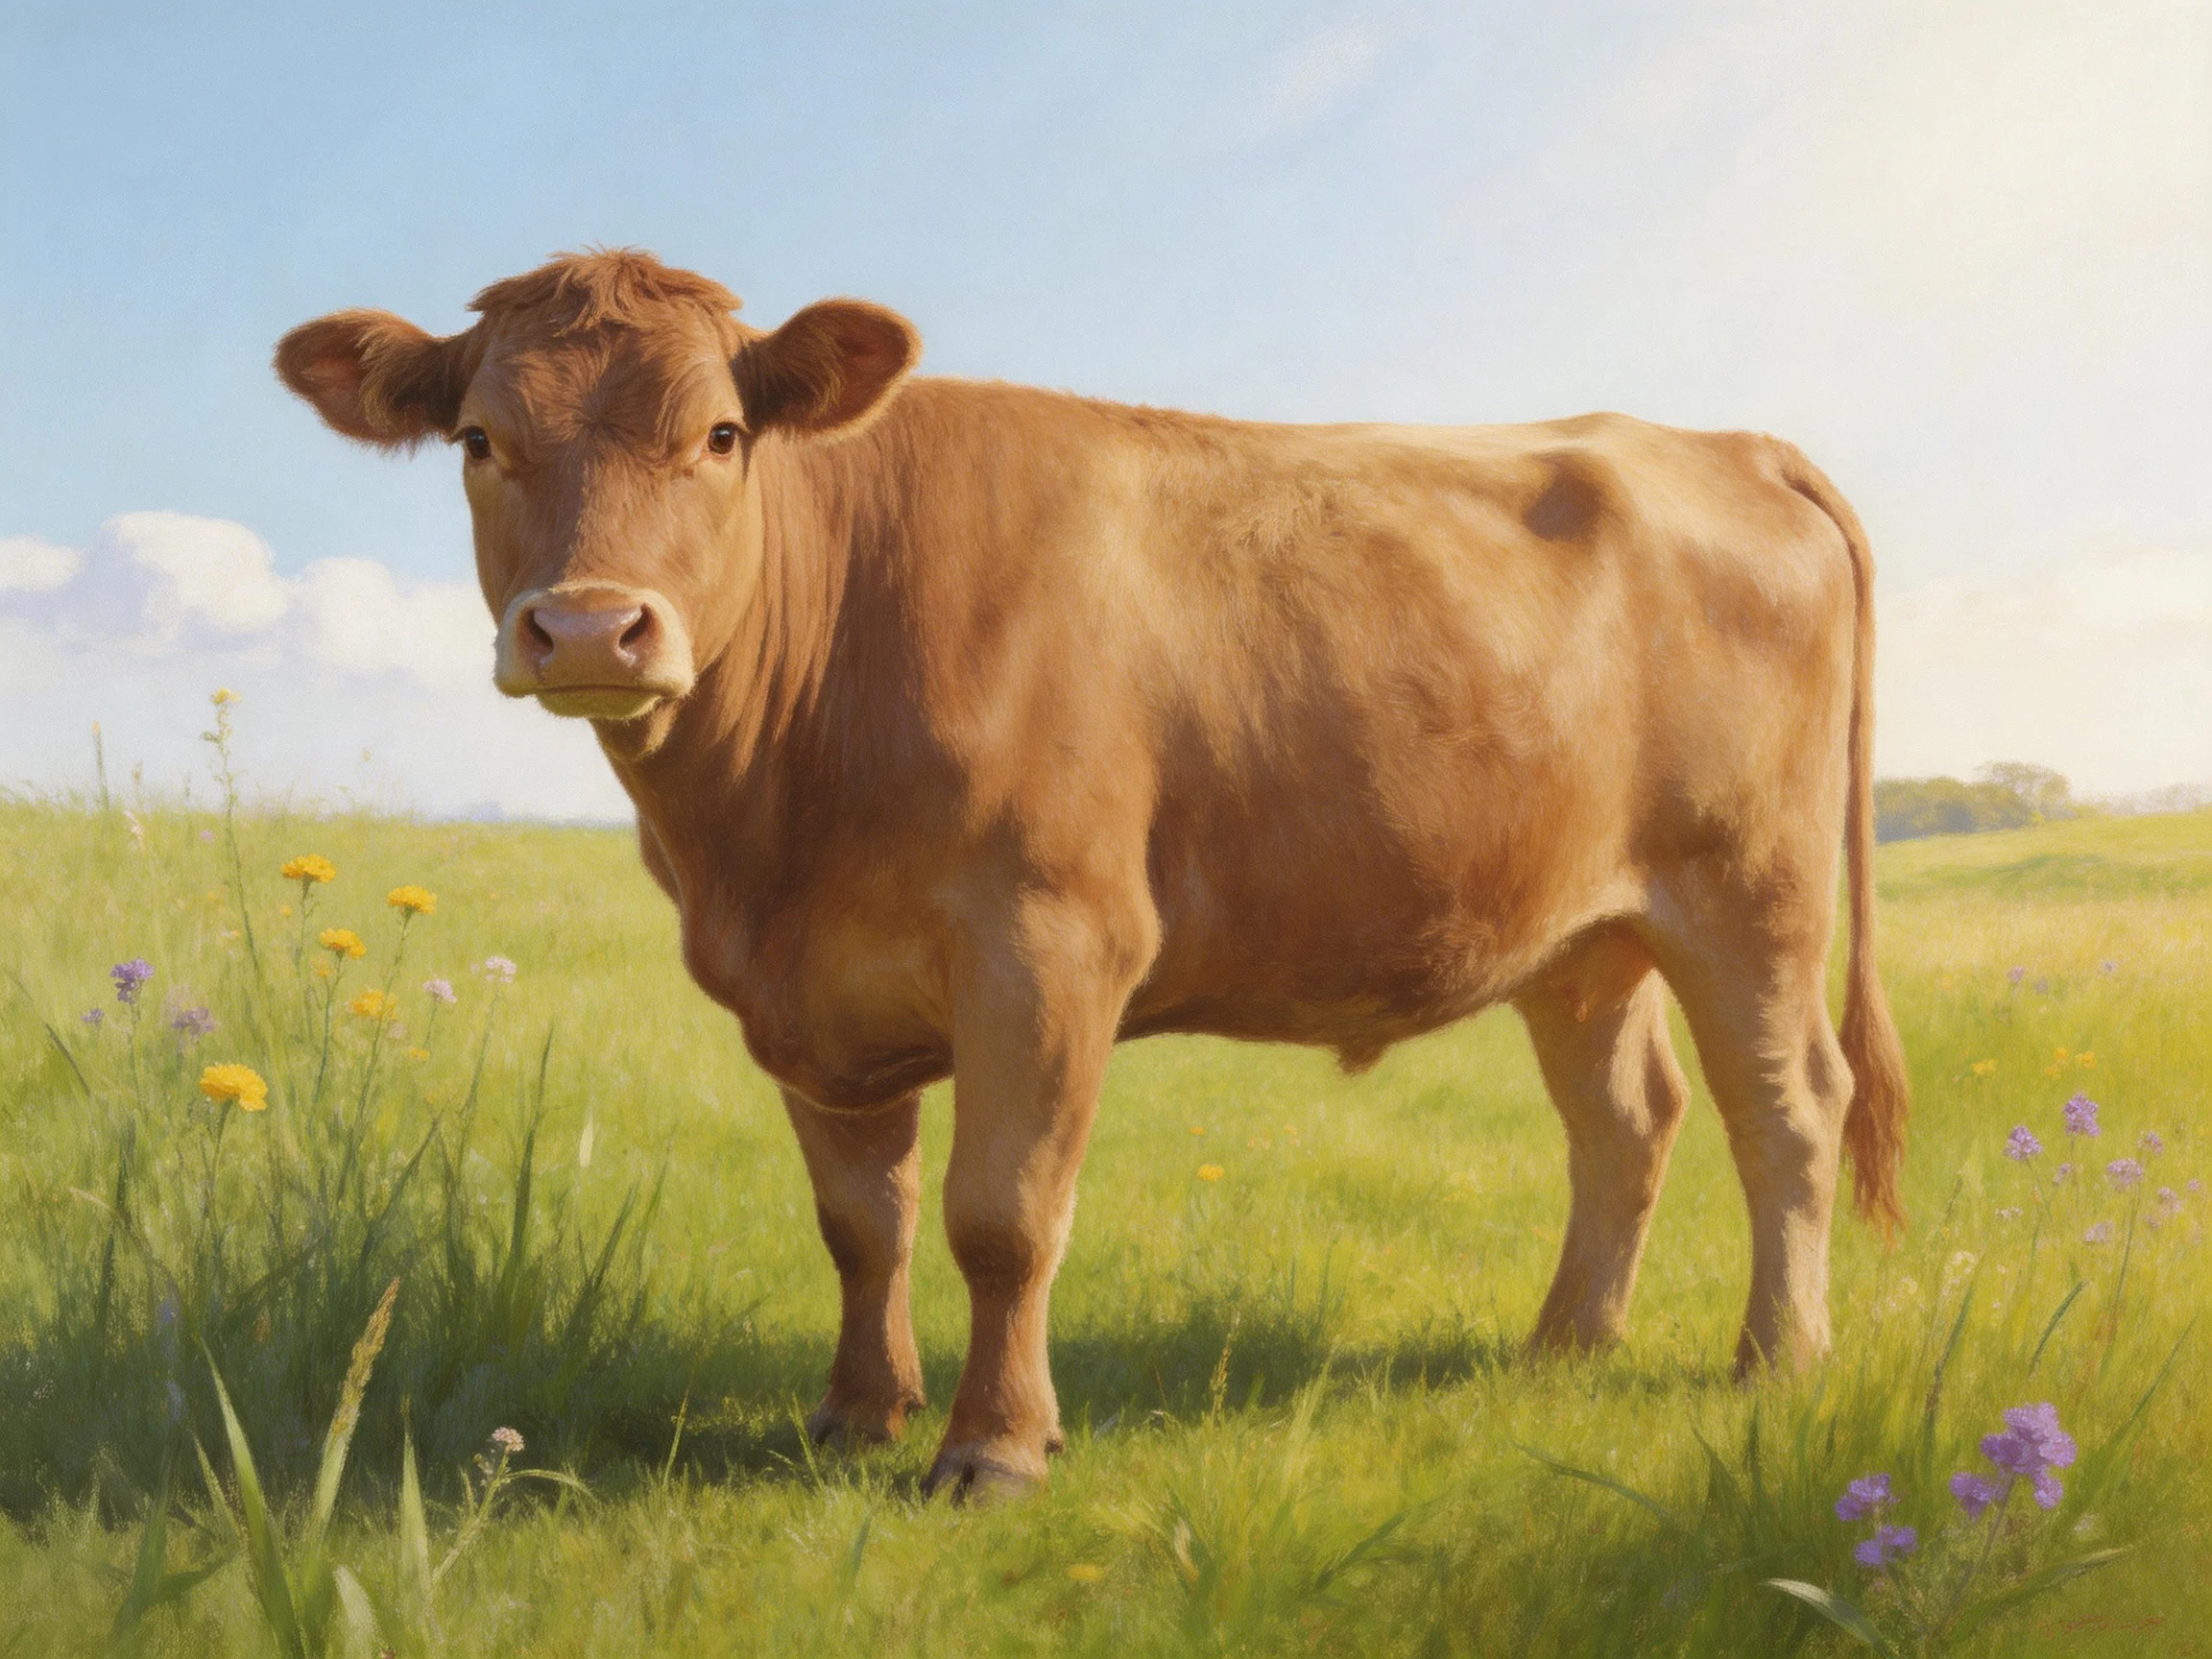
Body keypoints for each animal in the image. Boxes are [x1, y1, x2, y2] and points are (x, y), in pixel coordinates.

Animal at [276, 249, 1909, 1500]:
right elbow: (861, 1222)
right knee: (1628, 1118)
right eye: (479, 440)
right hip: (1584, 932)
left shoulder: (1048, 944)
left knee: (1789, 1107)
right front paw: (857, 1415)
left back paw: (1779, 1358)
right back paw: (1565, 1344)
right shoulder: (809, 996)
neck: (766, 825)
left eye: (723, 436)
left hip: (1750, 892)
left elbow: (1002, 1215)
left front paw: (992, 1448)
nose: (590, 628)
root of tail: (1710, 441)